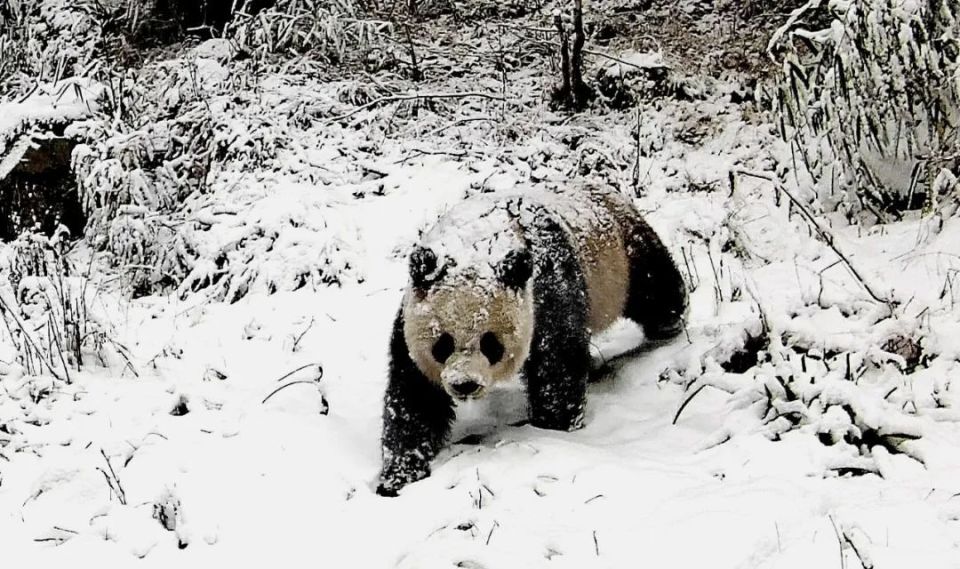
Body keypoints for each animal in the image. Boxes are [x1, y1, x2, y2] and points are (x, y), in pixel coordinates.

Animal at [376, 184, 688, 494]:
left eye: (490, 344)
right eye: (443, 344)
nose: (465, 385)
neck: (476, 246)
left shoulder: (546, 289)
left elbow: (556, 365)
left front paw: (553, 425)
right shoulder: (411, 317)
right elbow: (415, 397)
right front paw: (398, 475)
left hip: (622, 254)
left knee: (656, 287)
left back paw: (669, 323)